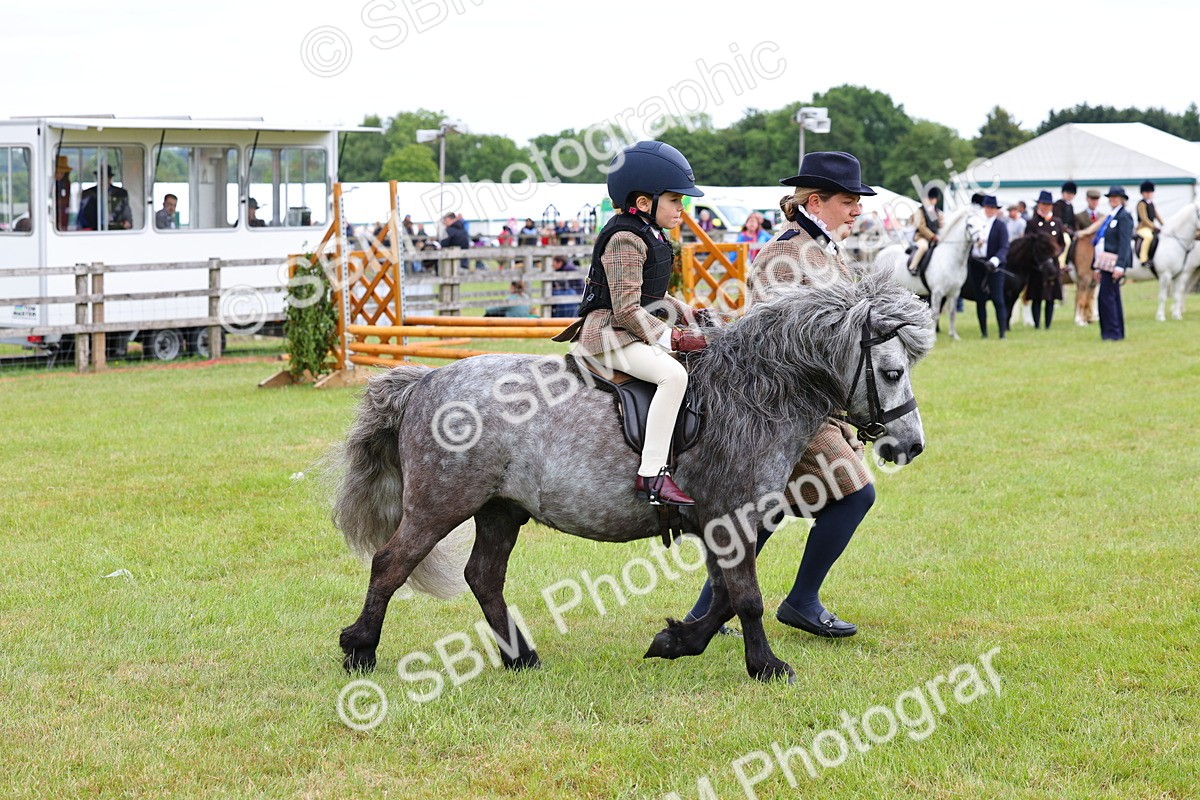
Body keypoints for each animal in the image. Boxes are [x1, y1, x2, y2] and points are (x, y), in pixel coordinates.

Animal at [332, 266, 935, 684]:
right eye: (891, 372)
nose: (911, 445)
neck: (754, 394)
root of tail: (424, 382)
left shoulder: (735, 523)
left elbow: (725, 595)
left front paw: (678, 641)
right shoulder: (733, 520)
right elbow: (746, 598)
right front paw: (766, 666)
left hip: (501, 510)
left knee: (483, 577)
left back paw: (520, 656)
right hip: (441, 503)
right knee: (391, 563)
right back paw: (360, 648)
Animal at [874, 207, 984, 340]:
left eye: (983, 225)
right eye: (970, 225)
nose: (980, 241)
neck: (951, 259)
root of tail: (881, 253)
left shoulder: (954, 293)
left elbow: (952, 313)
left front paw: (954, 335)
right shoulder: (937, 292)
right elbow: (935, 313)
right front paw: (933, 336)